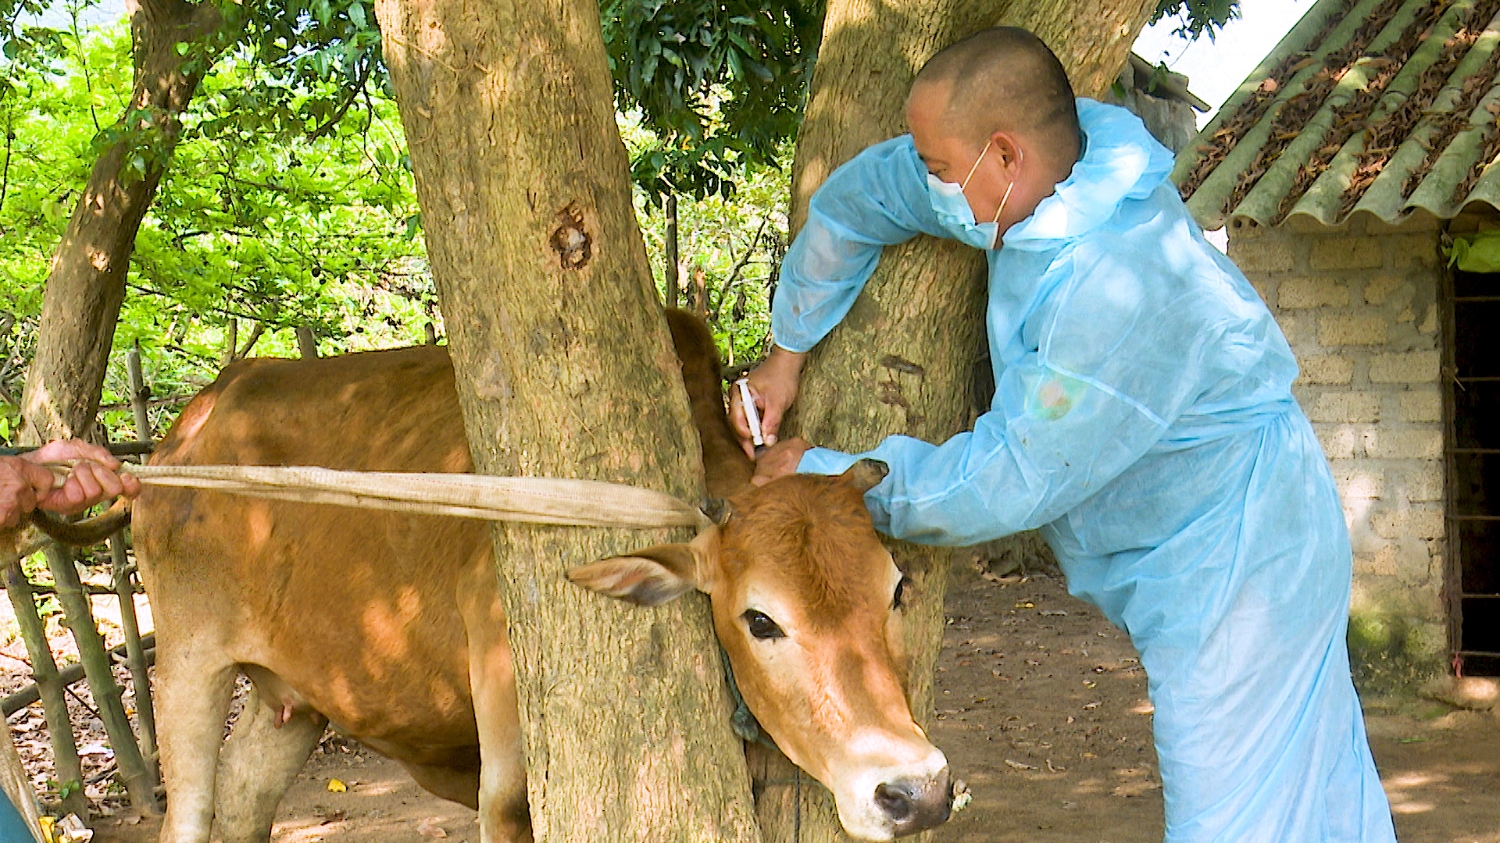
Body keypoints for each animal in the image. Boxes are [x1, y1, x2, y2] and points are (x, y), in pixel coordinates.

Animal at [132, 310, 948, 840]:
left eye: (896, 588)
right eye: (760, 619)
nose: (916, 791)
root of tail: (191, 422)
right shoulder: (504, 732)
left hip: (295, 697)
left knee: (244, 799)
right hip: (187, 662)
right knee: (190, 811)